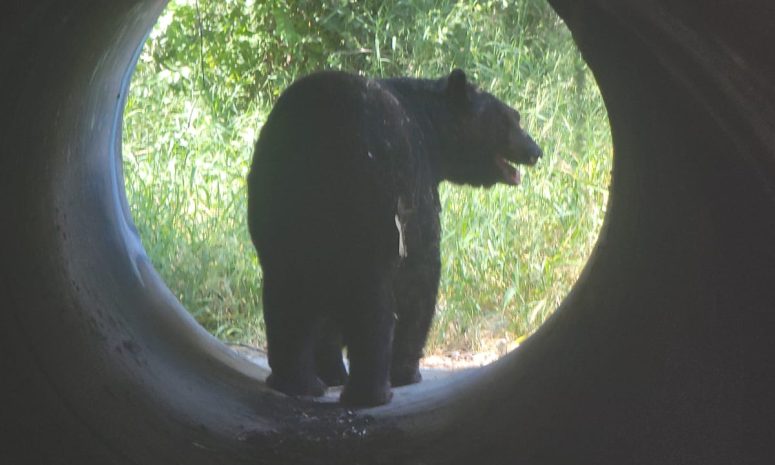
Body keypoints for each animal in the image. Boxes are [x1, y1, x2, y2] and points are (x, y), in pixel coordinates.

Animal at [247, 69, 542, 407]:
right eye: (511, 118)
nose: (536, 151)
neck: (429, 125)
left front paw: (332, 371)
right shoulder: (417, 186)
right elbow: (422, 273)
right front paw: (407, 371)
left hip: (280, 210)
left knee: (285, 296)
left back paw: (297, 382)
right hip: (372, 205)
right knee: (372, 304)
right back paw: (371, 392)